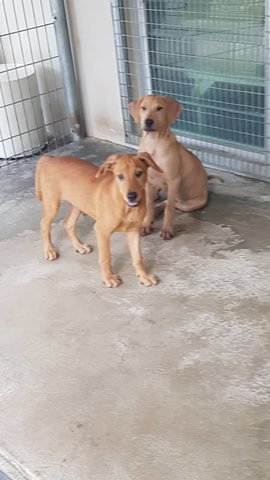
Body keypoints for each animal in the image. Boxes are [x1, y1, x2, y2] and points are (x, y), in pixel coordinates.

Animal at [35, 154, 162, 286]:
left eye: (138, 173)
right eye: (120, 176)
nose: (131, 196)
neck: (125, 206)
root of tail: (50, 158)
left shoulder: (134, 230)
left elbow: (138, 257)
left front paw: (144, 276)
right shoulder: (101, 231)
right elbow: (105, 257)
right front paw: (108, 278)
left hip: (78, 203)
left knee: (68, 223)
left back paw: (79, 246)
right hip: (52, 203)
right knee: (44, 224)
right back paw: (49, 250)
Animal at [130, 94, 223, 240]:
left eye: (159, 108)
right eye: (143, 108)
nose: (148, 122)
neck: (153, 143)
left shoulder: (173, 181)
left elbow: (169, 209)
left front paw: (167, 229)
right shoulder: (148, 182)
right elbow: (149, 205)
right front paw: (146, 224)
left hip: (191, 204)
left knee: (171, 203)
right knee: (163, 202)